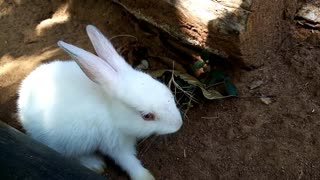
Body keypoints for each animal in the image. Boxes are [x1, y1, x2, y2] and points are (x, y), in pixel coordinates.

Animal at [17, 24, 182, 179]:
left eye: (167, 92)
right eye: (147, 116)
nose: (178, 125)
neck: (110, 110)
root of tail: (23, 94)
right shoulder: (114, 142)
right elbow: (128, 160)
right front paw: (145, 176)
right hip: (64, 142)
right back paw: (95, 164)